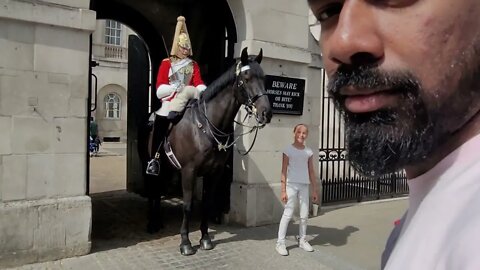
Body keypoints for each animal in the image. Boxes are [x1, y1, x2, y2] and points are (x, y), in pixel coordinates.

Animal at [141, 47, 272, 256]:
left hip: (167, 169)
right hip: (150, 166)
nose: (266, 113)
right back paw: (152, 223)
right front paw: (185, 242)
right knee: (153, 190)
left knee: (158, 192)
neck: (207, 125)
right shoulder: (189, 171)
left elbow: (207, 203)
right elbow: (187, 206)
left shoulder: (214, 172)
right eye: (246, 77)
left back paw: (158, 221)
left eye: (264, 77)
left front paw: (205, 238)